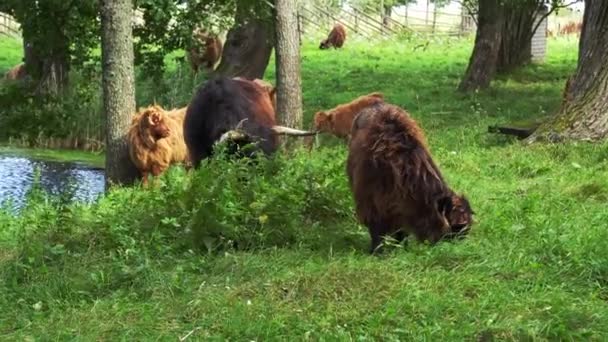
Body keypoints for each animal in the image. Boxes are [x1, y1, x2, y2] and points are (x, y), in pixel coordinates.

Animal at [346, 101, 476, 254]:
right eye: (459, 225)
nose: (461, 246)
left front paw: (402, 247)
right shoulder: (371, 202)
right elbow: (376, 231)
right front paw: (377, 252)